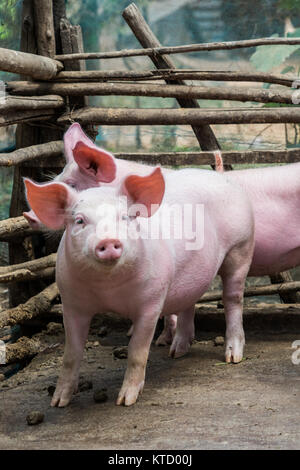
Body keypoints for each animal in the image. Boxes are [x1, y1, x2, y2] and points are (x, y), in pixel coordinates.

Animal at [24, 163, 253, 406]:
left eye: (124, 217)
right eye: (79, 220)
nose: (108, 241)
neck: (108, 289)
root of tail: (220, 177)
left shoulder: (151, 303)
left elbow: (137, 351)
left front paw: (126, 401)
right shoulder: (71, 303)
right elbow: (71, 353)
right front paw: (58, 402)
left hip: (241, 248)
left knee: (233, 299)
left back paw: (232, 357)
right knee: (189, 301)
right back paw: (176, 353)